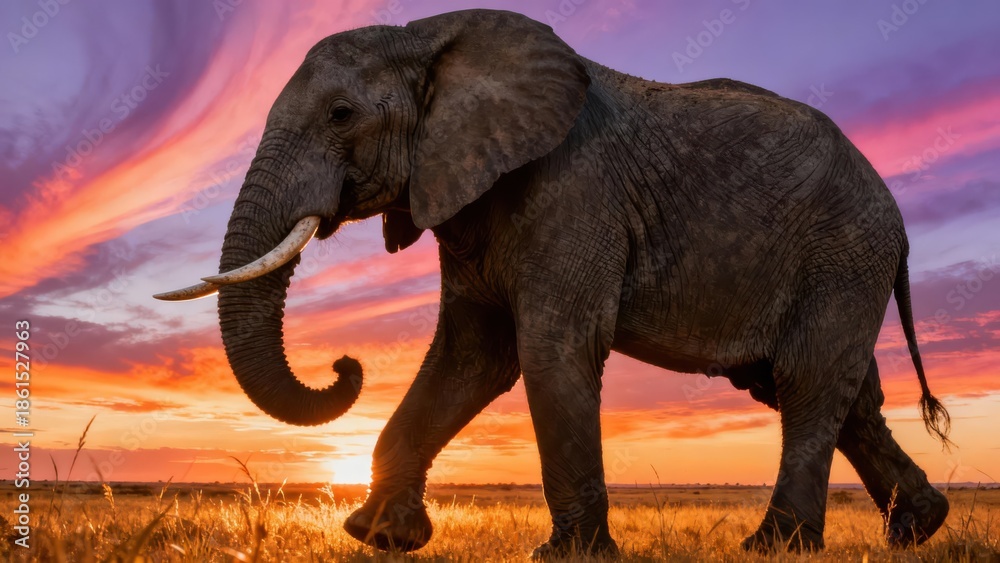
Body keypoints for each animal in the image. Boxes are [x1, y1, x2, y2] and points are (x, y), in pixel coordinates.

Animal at [155, 9, 952, 557]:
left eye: (342, 114)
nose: (344, 364)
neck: (427, 37)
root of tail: (897, 215)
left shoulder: (574, 192)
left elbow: (549, 349)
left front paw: (569, 554)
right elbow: (471, 358)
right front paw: (380, 536)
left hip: (842, 252)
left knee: (806, 381)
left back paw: (773, 547)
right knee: (832, 392)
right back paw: (920, 527)